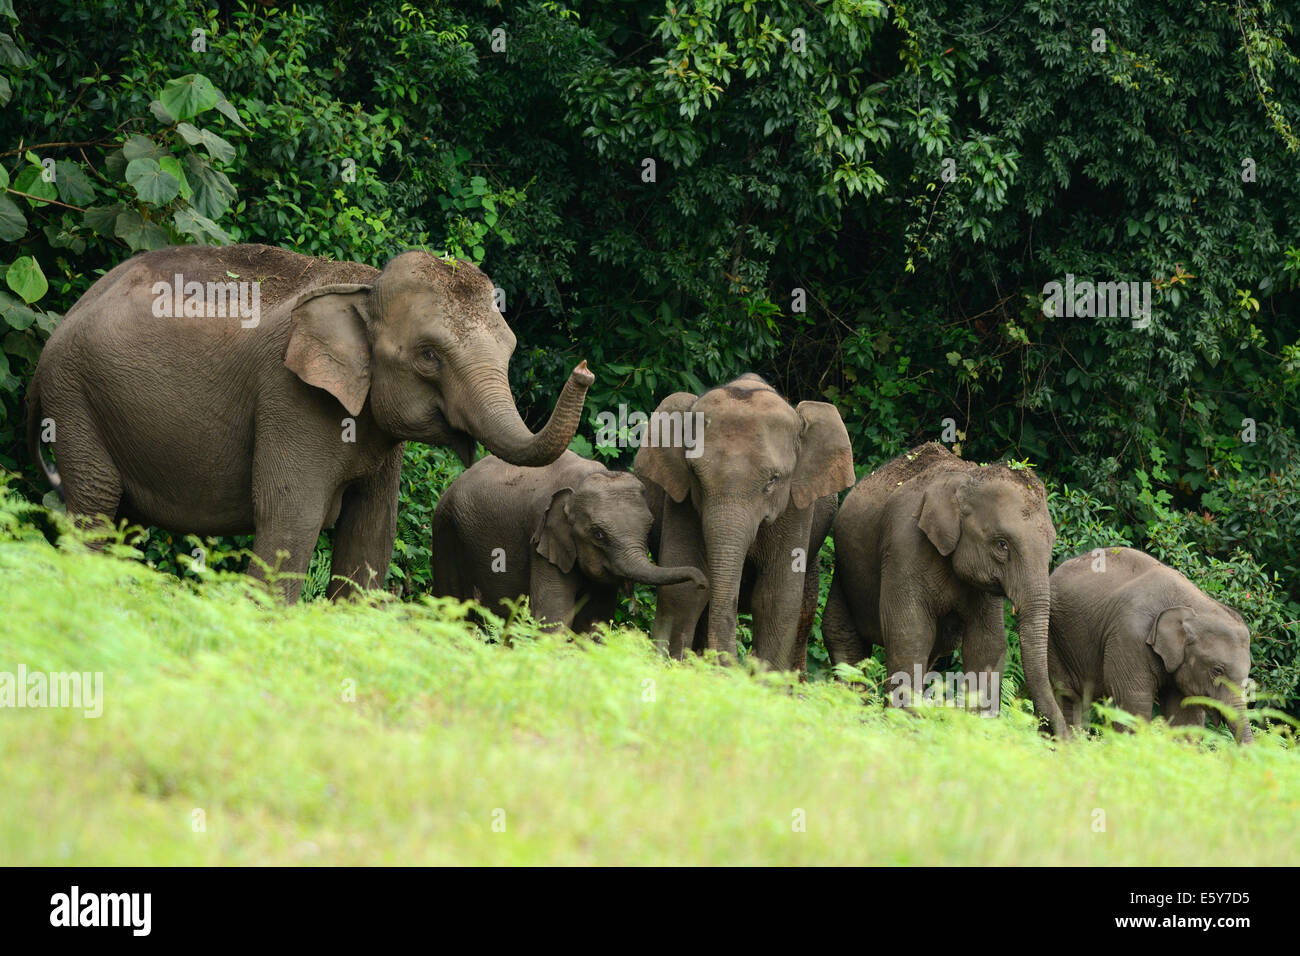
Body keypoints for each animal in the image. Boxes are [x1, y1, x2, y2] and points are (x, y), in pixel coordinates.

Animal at [26, 243, 595, 600]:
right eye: (428, 356)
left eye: (510, 348)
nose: (585, 368)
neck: (363, 287)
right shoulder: (291, 397)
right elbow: (289, 517)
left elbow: (372, 531)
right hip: (73, 399)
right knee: (96, 505)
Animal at [431, 450, 707, 632]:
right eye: (598, 534)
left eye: (649, 527)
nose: (702, 583)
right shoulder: (541, 540)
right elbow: (552, 615)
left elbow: (595, 620)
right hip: (446, 532)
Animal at [634, 374, 857, 671]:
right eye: (695, 475)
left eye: (773, 480)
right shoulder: (681, 502)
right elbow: (682, 592)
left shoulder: (795, 509)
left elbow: (776, 600)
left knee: (804, 611)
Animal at [821, 444, 1066, 738]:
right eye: (1002, 544)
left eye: (1051, 545)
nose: (1055, 736)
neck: (966, 479)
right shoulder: (903, 545)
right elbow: (910, 633)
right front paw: (904, 728)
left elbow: (987, 643)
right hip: (844, 571)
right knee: (844, 637)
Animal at [1050, 548, 1253, 743]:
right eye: (1217, 670)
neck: (1193, 607)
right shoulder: (1129, 637)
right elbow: (1133, 702)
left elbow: (1185, 716)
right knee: (1067, 695)